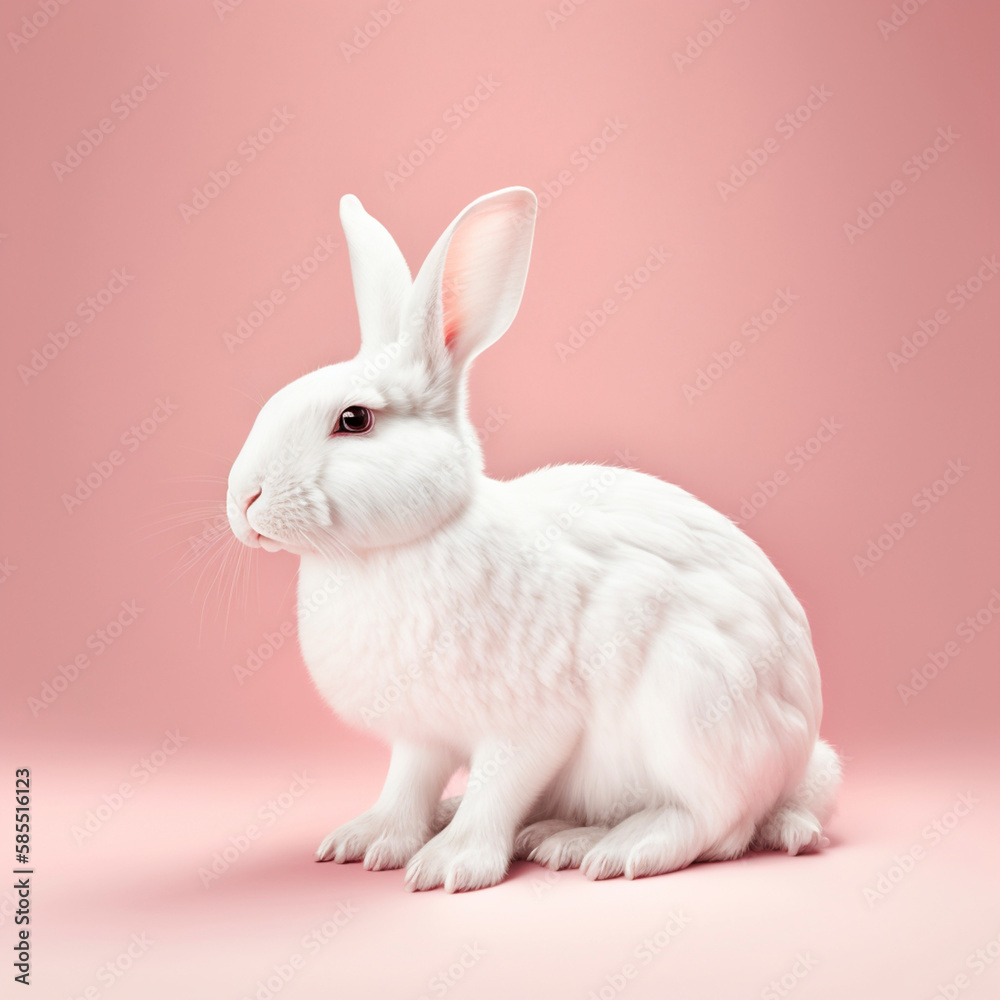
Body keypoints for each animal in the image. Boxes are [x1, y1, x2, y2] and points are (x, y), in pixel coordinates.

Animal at [226, 186, 841, 892]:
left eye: (354, 420)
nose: (244, 501)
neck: (398, 547)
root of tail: (798, 765)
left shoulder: (530, 725)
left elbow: (498, 788)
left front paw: (449, 865)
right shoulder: (421, 735)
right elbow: (406, 786)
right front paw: (369, 841)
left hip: (692, 707)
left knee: (716, 823)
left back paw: (605, 848)